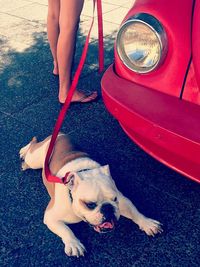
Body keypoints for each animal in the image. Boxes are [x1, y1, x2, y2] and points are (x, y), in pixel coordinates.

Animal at [19, 134, 162, 258]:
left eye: (114, 199)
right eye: (90, 204)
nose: (108, 208)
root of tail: (58, 135)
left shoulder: (123, 201)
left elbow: (134, 211)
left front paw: (147, 223)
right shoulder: (51, 217)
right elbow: (65, 230)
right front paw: (74, 244)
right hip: (35, 159)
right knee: (32, 146)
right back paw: (24, 152)